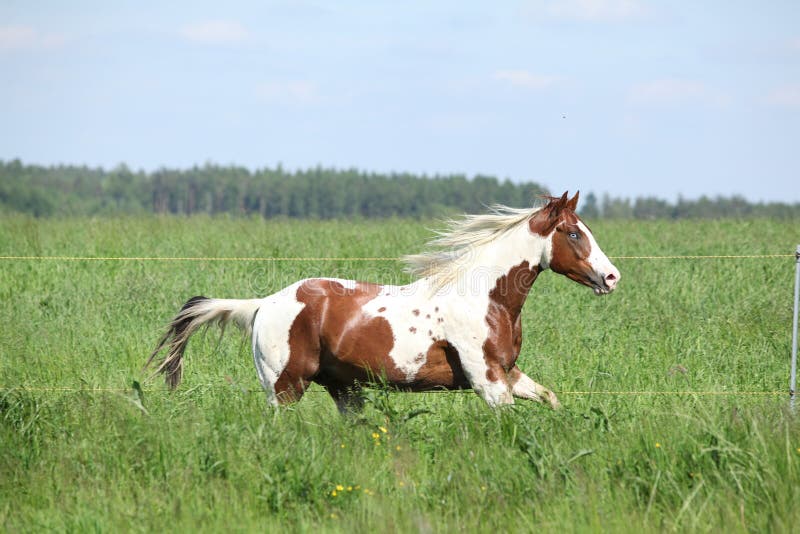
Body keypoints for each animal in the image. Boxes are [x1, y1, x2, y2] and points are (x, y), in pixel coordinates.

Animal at [146, 191, 620, 411]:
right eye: (573, 232)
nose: (612, 277)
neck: (485, 300)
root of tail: (262, 305)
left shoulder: (509, 371)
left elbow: (550, 399)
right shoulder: (487, 379)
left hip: (343, 388)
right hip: (285, 387)